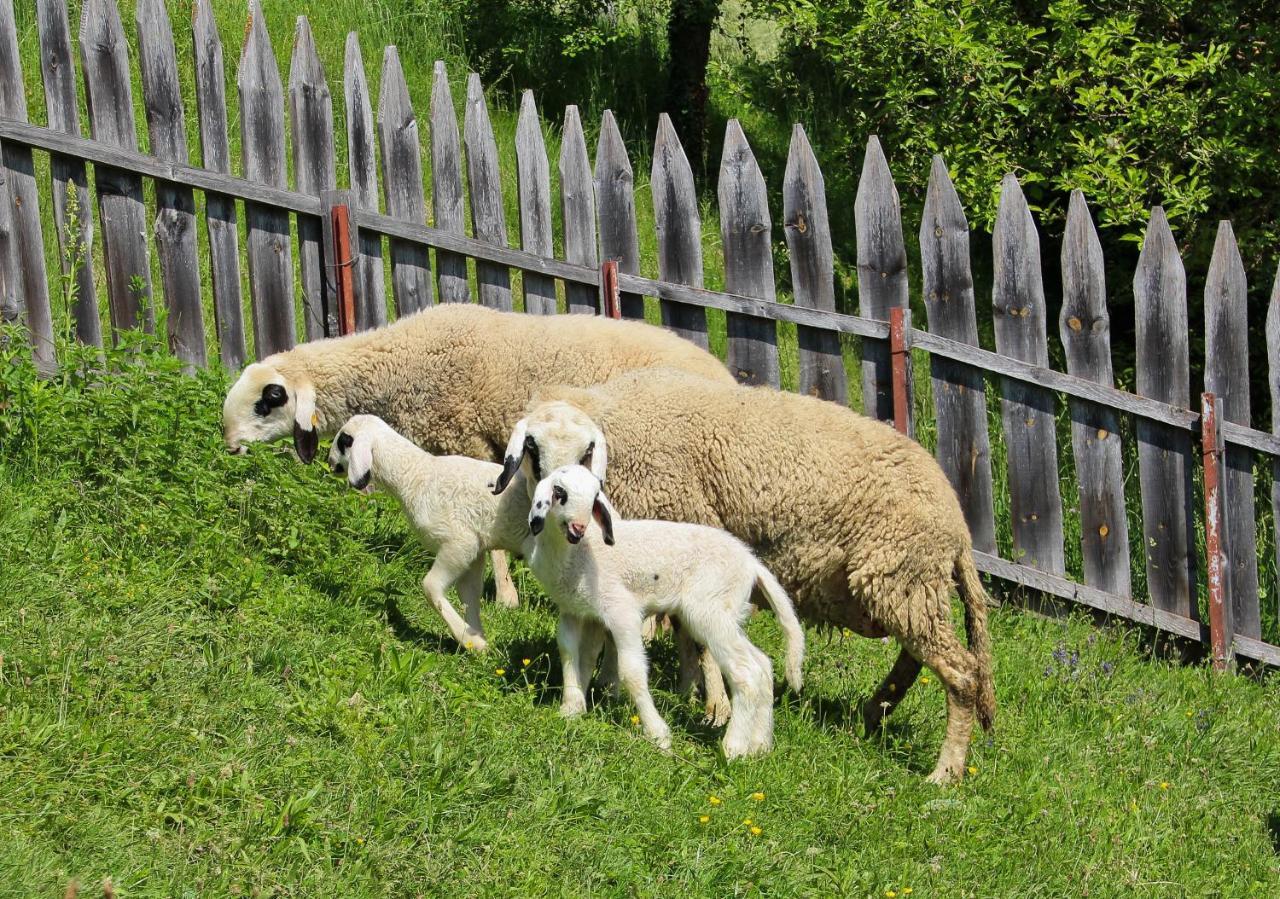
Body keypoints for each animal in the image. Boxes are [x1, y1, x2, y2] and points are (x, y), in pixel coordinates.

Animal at [220, 302, 732, 619]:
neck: (404, 364)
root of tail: (724, 375)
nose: (229, 445)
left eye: (269, 399)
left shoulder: (470, 441)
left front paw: (505, 596)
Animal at [330, 414, 535, 655]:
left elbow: (430, 587)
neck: (414, 474)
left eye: (343, 440)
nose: (329, 461)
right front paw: (477, 640)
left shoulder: (458, 542)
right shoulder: (475, 548)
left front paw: (467, 639)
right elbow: (469, 594)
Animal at [524, 466, 803, 758]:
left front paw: (658, 734)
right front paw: (571, 708)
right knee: (762, 665)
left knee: (746, 671)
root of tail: (752, 564)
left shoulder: (622, 610)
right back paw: (760, 745)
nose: (579, 527)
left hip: (710, 612)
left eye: (593, 498)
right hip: (727, 613)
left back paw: (733, 748)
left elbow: (632, 671)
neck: (575, 553)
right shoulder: (575, 610)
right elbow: (572, 654)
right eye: (559, 491)